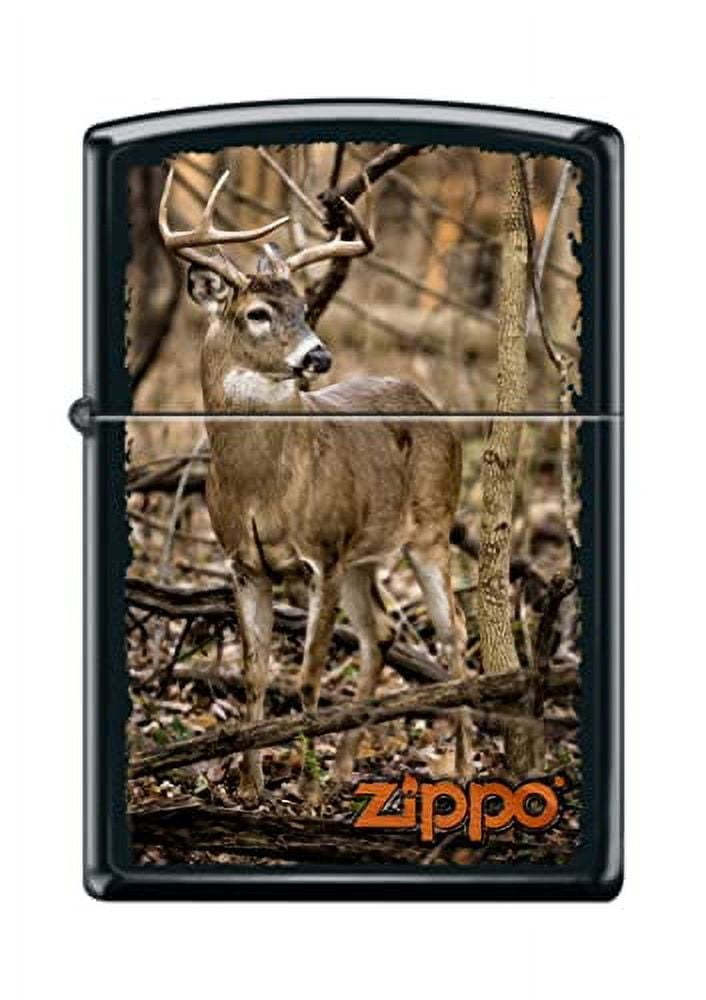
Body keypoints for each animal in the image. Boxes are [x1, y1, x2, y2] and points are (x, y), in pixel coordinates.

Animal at [158, 162, 473, 804]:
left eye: (305, 306)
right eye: (257, 313)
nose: (318, 357)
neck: (260, 488)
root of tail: (431, 403)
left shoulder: (321, 554)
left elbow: (306, 677)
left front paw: (303, 792)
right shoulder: (244, 564)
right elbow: (254, 676)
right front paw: (251, 786)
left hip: (431, 526)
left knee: (453, 635)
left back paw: (460, 769)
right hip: (363, 555)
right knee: (380, 634)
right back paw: (347, 768)